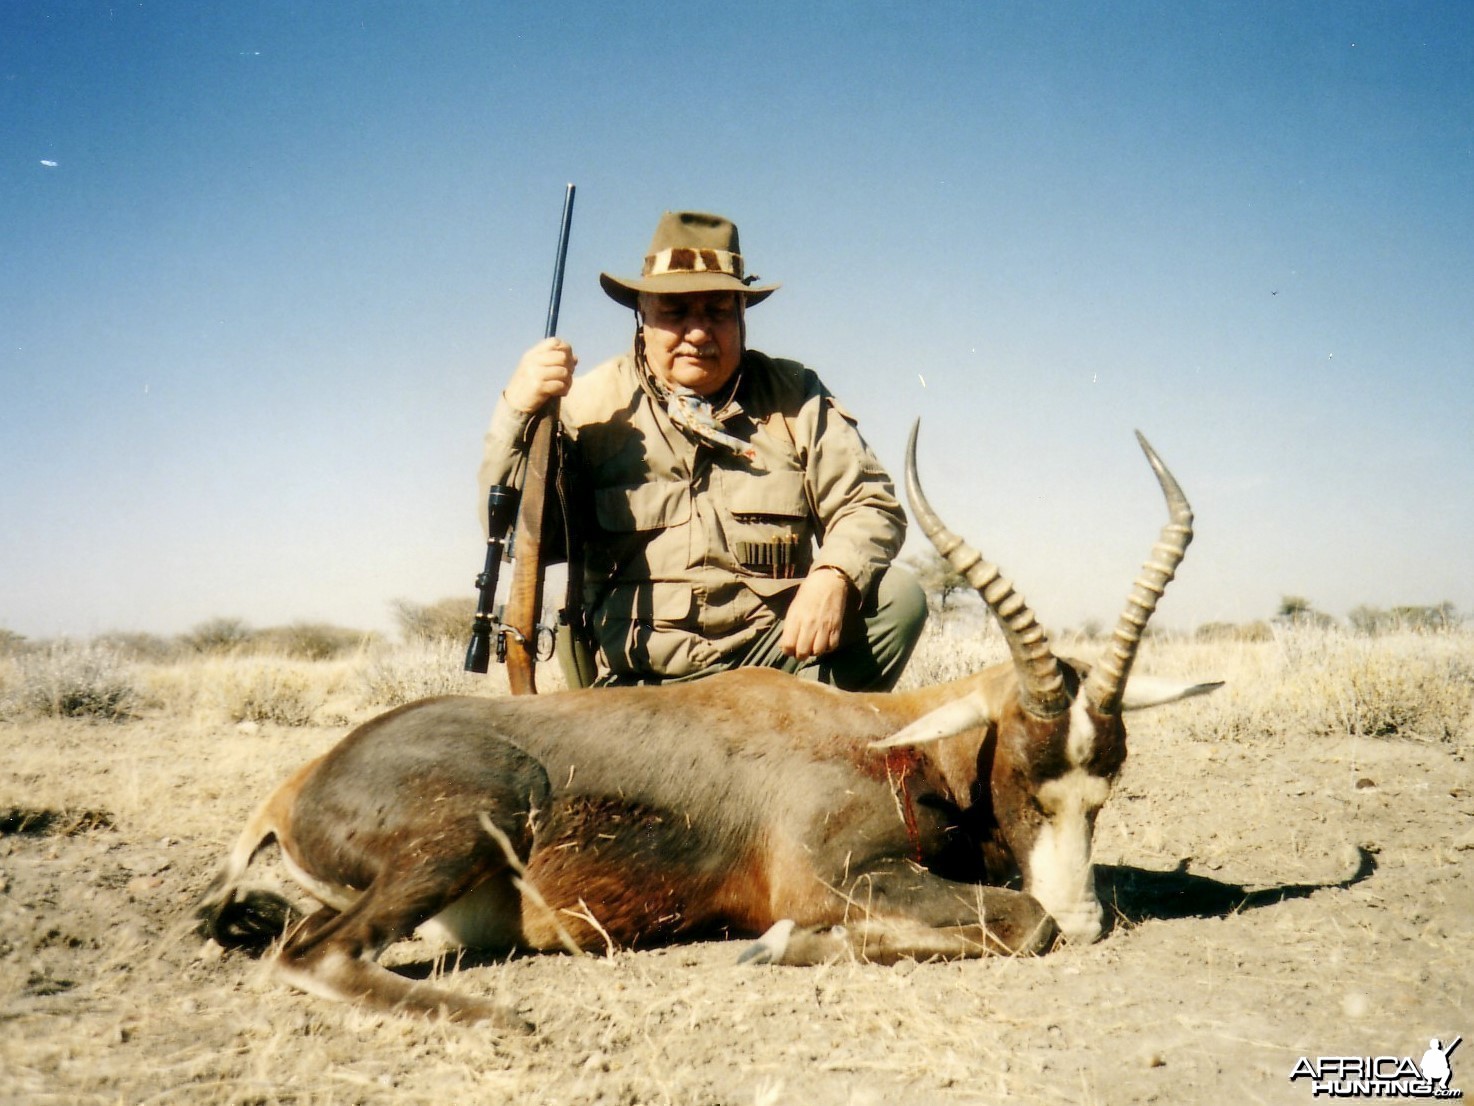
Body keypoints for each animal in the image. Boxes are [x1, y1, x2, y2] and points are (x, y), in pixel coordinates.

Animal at [198, 424, 1220, 1020]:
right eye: (1023, 778)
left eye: (1106, 786)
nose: (1087, 921)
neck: (880, 736)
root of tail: (295, 789)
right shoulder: (835, 876)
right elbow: (1015, 921)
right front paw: (786, 946)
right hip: (470, 826)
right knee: (315, 957)